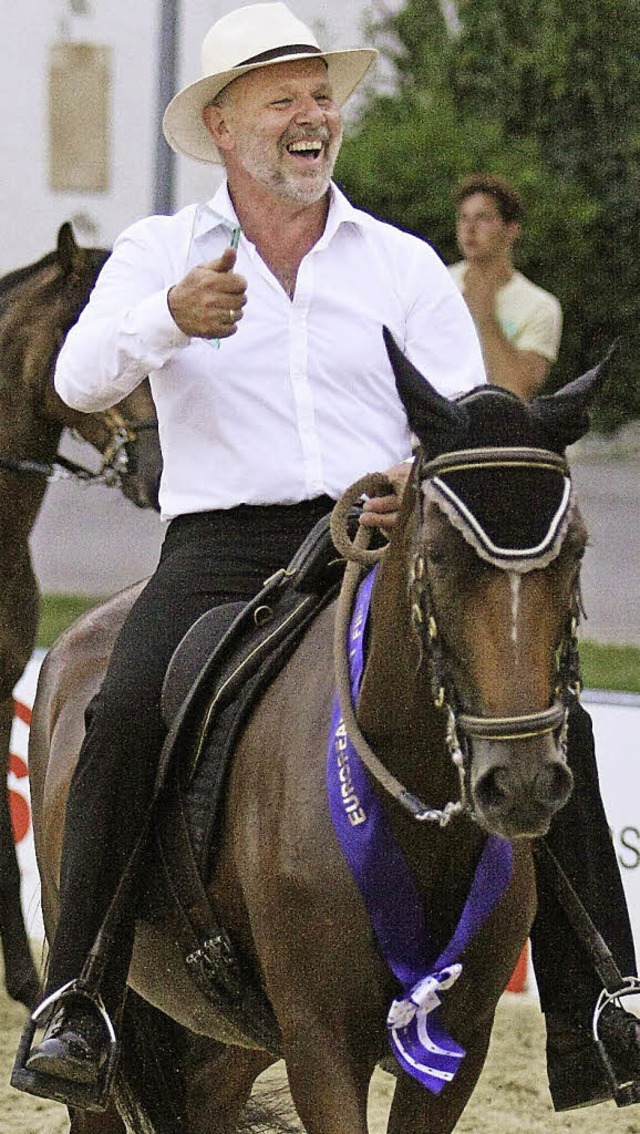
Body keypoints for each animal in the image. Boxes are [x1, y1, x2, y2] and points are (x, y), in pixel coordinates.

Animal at [23, 337, 603, 1134]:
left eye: (574, 551)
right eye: (440, 555)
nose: (518, 783)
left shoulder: (459, 1045)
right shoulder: (321, 1041)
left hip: (229, 1042)